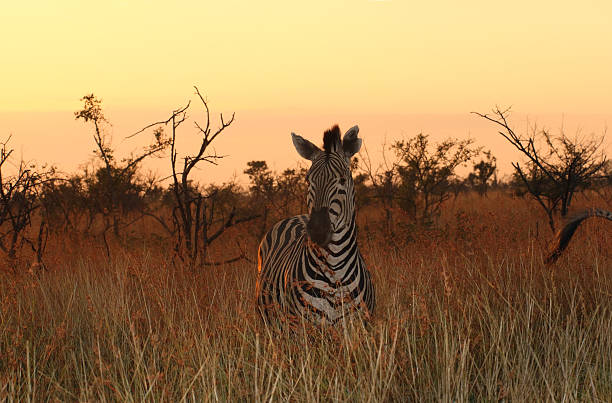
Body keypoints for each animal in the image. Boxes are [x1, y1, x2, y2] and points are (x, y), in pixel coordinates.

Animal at [253, 124, 372, 326]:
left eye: (342, 180)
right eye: (308, 180)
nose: (317, 230)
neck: (335, 271)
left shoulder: (360, 325)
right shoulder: (303, 326)